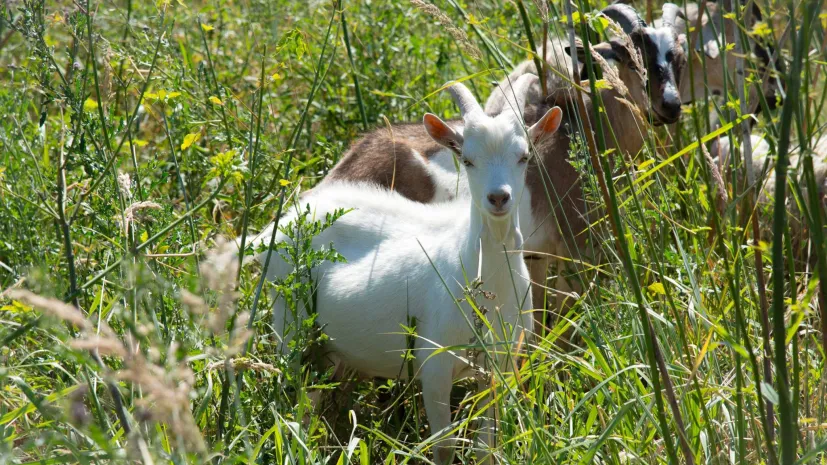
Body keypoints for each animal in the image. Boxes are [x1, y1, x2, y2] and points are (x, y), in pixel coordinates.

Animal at [258, 75, 564, 460]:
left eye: (523, 157)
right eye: (467, 159)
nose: (498, 198)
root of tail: (278, 226)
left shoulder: (501, 365)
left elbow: (486, 446)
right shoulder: (433, 364)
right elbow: (445, 445)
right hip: (292, 326)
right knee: (297, 404)